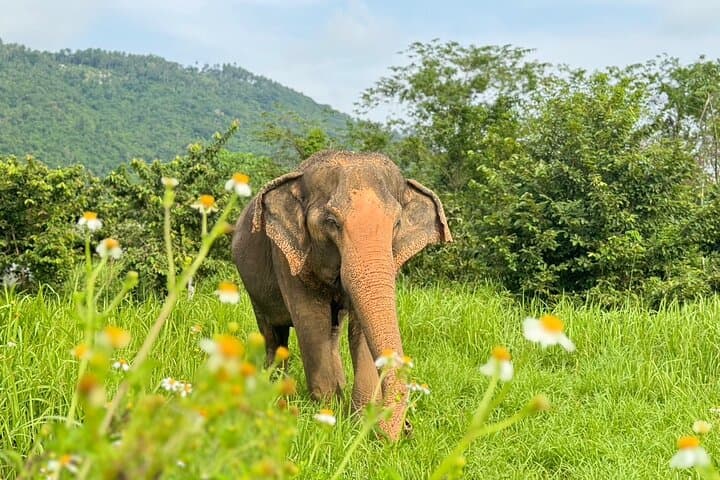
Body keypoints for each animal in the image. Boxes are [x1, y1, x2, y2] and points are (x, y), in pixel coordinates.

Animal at [231, 150, 452, 439]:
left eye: (397, 223)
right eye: (331, 222)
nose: (407, 428)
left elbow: (360, 329)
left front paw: (358, 421)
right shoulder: (286, 255)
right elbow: (311, 322)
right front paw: (328, 415)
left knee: (331, 332)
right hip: (253, 287)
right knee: (273, 333)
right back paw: (273, 384)